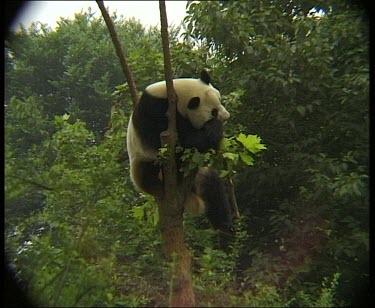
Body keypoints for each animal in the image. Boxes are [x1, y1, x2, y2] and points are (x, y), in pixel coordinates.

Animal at [128, 70, 234, 232]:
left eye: (219, 100)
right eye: (214, 112)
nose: (226, 116)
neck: (177, 95)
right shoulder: (155, 113)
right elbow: (185, 141)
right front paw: (213, 128)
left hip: (198, 176)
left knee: (212, 185)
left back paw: (225, 225)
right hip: (141, 164)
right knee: (150, 169)